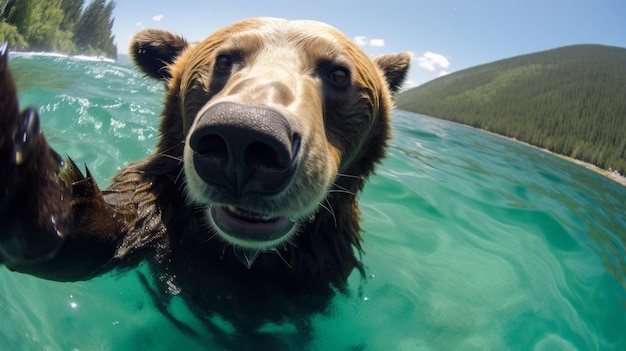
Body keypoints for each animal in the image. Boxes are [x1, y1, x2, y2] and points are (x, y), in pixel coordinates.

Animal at [0, 17, 410, 348]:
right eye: (225, 60)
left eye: (338, 73)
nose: (243, 136)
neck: (240, 255)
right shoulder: (159, 214)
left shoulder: (316, 266)